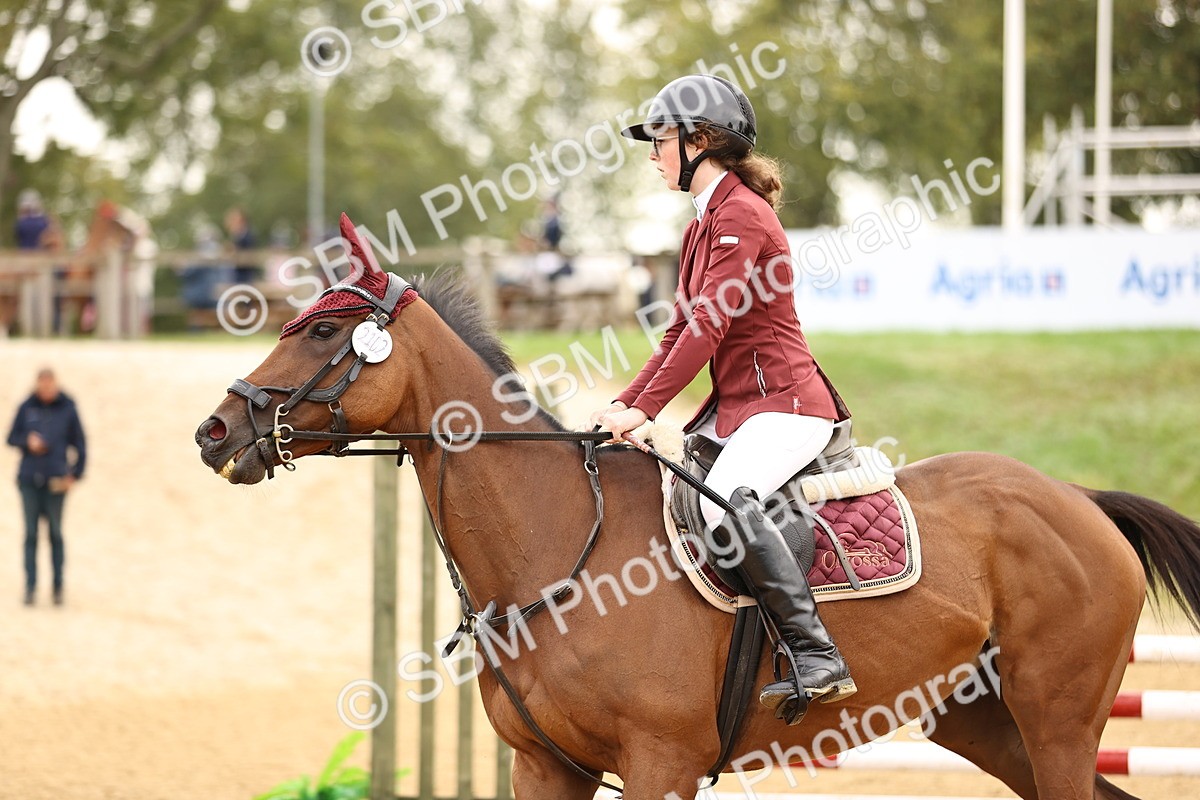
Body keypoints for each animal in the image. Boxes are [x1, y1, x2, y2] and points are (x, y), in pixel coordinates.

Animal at [195, 258, 1200, 800]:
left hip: (1056, 717)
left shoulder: (660, 762)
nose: (215, 431)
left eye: (323, 334)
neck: (558, 549)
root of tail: (1077, 497)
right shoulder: (546, 768)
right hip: (985, 722)